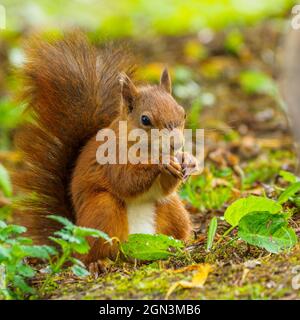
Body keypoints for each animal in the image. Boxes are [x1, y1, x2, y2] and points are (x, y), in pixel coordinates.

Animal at [14, 33, 197, 268]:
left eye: (183, 113)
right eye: (145, 120)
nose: (177, 144)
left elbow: (164, 189)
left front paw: (187, 160)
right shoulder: (111, 157)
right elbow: (125, 181)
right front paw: (161, 162)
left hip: (174, 211)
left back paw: (180, 245)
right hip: (103, 212)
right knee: (91, 254)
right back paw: (99, 262)